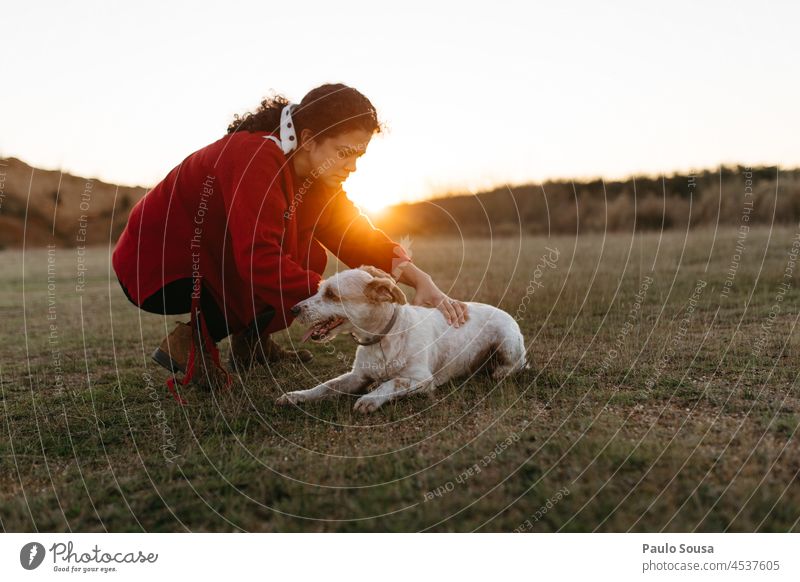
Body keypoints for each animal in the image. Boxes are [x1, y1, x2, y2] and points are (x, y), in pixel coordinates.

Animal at [276, 266, 524, 412]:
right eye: (320, 290)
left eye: (331, 294)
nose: (293, 309)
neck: (381, 340)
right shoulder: (357, 376)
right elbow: (326, 386)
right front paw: (297, 396)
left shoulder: (421, 379)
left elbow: (392, 382)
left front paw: (371, 398)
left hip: (508, 344)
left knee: (518, 366)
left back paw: (500, 371)